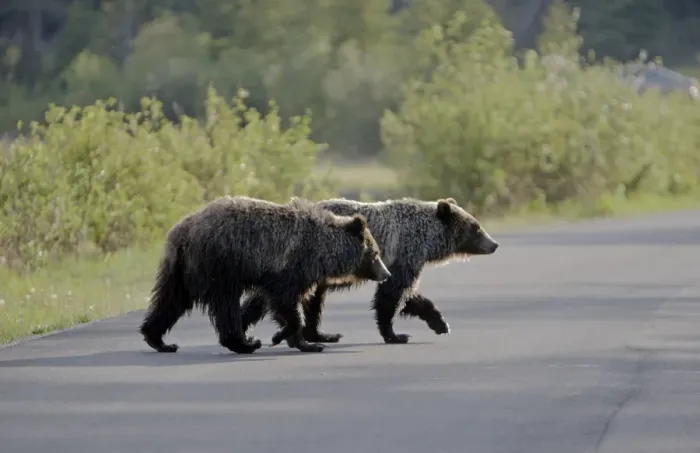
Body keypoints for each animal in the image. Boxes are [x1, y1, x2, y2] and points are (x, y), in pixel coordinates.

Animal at [138, 195, 391, 354]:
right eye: (375, 253)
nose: (386, 273)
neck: (323, 250)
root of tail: (183, 231)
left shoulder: (281, 275)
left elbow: (279, 305)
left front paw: (305, 343)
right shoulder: (289, 268)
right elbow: (285, 304)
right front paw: (285, 336)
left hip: (180, 270)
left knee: (170, 301)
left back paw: (158, 340)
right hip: (221, 266)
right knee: (224, 305)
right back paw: (245, 343)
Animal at [240, 197, 499, 345]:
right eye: (476, 227)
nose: (494, 244)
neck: (425, 238)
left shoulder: (401, 261)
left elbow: (409, 296)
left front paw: (440, 323)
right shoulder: (404, 255)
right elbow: (392, 295)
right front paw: (395, 335)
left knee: (303, 300)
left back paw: (320, 334)